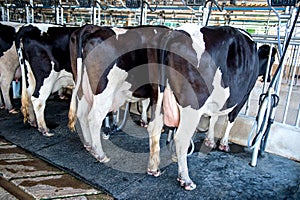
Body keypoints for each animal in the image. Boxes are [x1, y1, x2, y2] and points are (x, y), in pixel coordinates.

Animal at [68, 23, 258, 191]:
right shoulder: (241, 98)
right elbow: (227, 120)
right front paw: (222, 143)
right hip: (108, 91)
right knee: (95, 118)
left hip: (86, 88)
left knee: (84, 114)